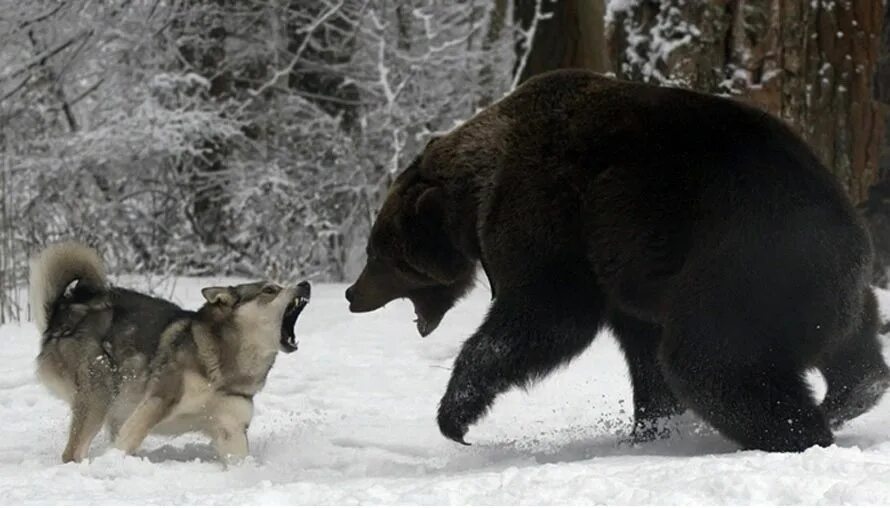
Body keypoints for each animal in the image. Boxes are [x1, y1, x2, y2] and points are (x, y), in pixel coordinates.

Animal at [344, 68, 884, 452]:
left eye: (377, 253)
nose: (352, 294)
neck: (475, 195)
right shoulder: (625, 272)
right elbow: (642, 354)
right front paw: (650, 426)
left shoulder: (552, 214)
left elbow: (547, 314)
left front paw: (455, 415)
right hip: (826, 287)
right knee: (854, 347)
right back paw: (853, 393)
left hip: (744, 265)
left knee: (711, 361)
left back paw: (798, 433)